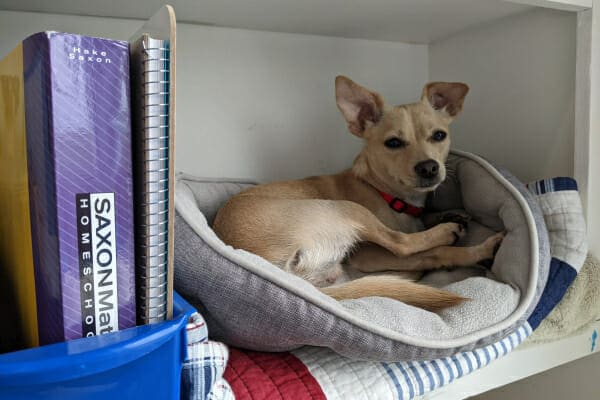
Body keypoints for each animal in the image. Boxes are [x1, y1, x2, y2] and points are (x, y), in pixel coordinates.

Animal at [213, 76, 504, 310]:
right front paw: (447, 231)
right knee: (405, 245)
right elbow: (419, 248)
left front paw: (445, 216)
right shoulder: (368, 254)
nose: (429, 167)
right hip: (346, 209)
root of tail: (280, 272)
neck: (387, 194)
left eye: (439, 135)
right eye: (393, 143)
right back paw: (464, 242)